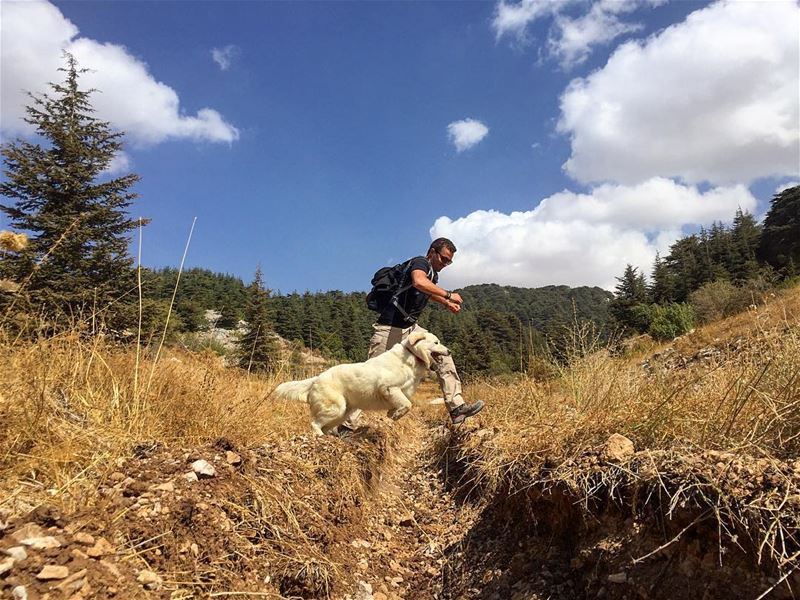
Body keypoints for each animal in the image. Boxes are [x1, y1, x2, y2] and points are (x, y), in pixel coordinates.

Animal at [276, 330, 450, 434]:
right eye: (436, 342)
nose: (449, 351)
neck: (411, 356)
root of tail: (316, 378)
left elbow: (403, 404)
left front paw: (392, 413)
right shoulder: (388, 387)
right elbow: (407, 404)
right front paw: (395, 415)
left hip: (343, 413)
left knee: (324, 426)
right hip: (336, 408)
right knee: (314, 424)